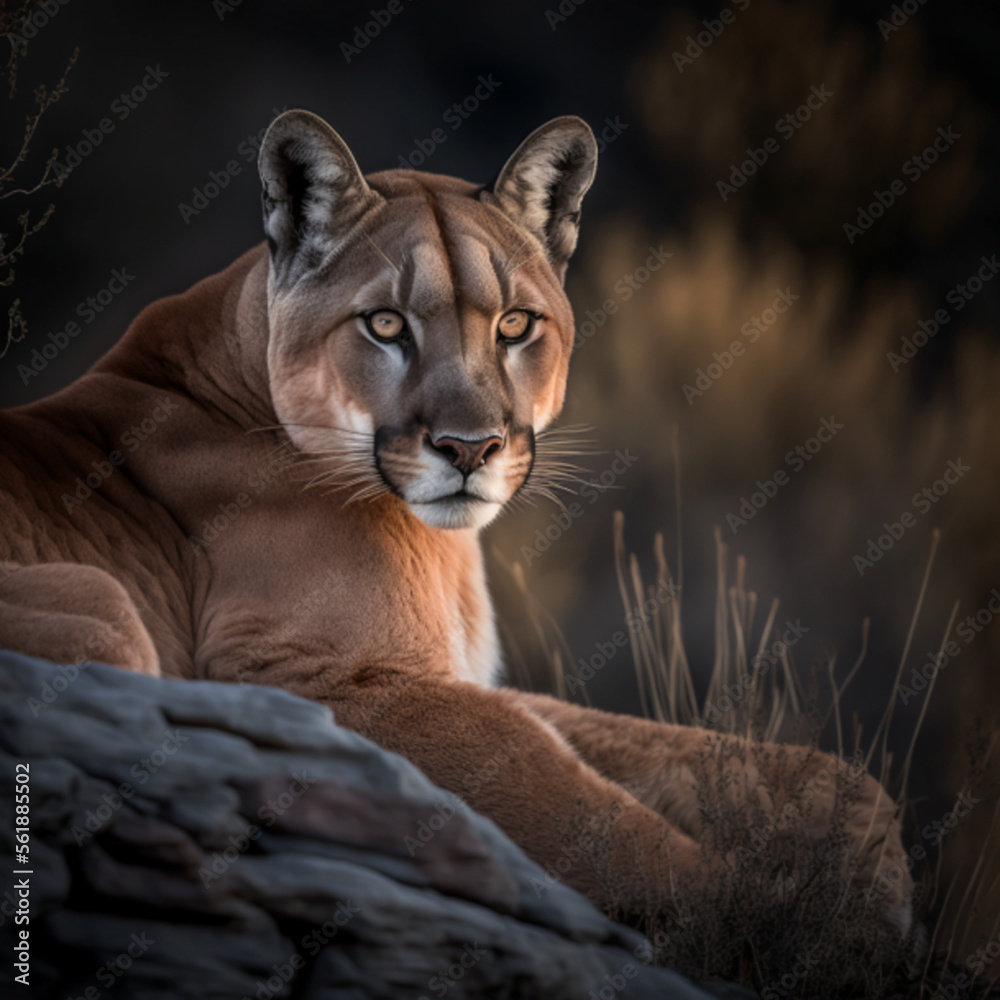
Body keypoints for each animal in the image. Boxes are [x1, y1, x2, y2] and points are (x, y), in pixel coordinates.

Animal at [0, 110, 912, 949]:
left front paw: (866, 853)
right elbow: (592, 814)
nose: (471, 447)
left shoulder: (457, 673)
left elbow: (659, 753)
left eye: (514, 325)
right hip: (103, 604)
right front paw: (770, 915)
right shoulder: (320, 682)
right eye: (385, 324)